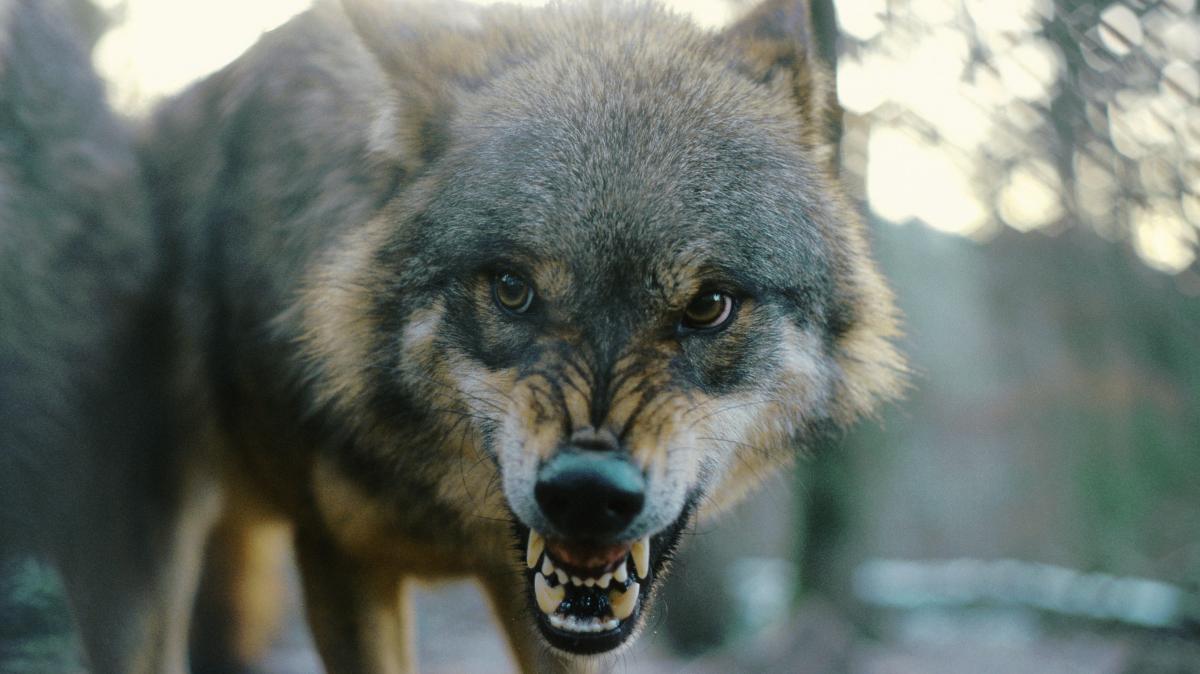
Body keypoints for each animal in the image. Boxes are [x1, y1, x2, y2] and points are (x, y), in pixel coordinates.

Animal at [2, 0, 904, 671]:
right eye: (511, 288)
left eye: (709, 304)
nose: (587, 493)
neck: (451, 513)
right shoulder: (339, 560)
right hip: (142, 553)